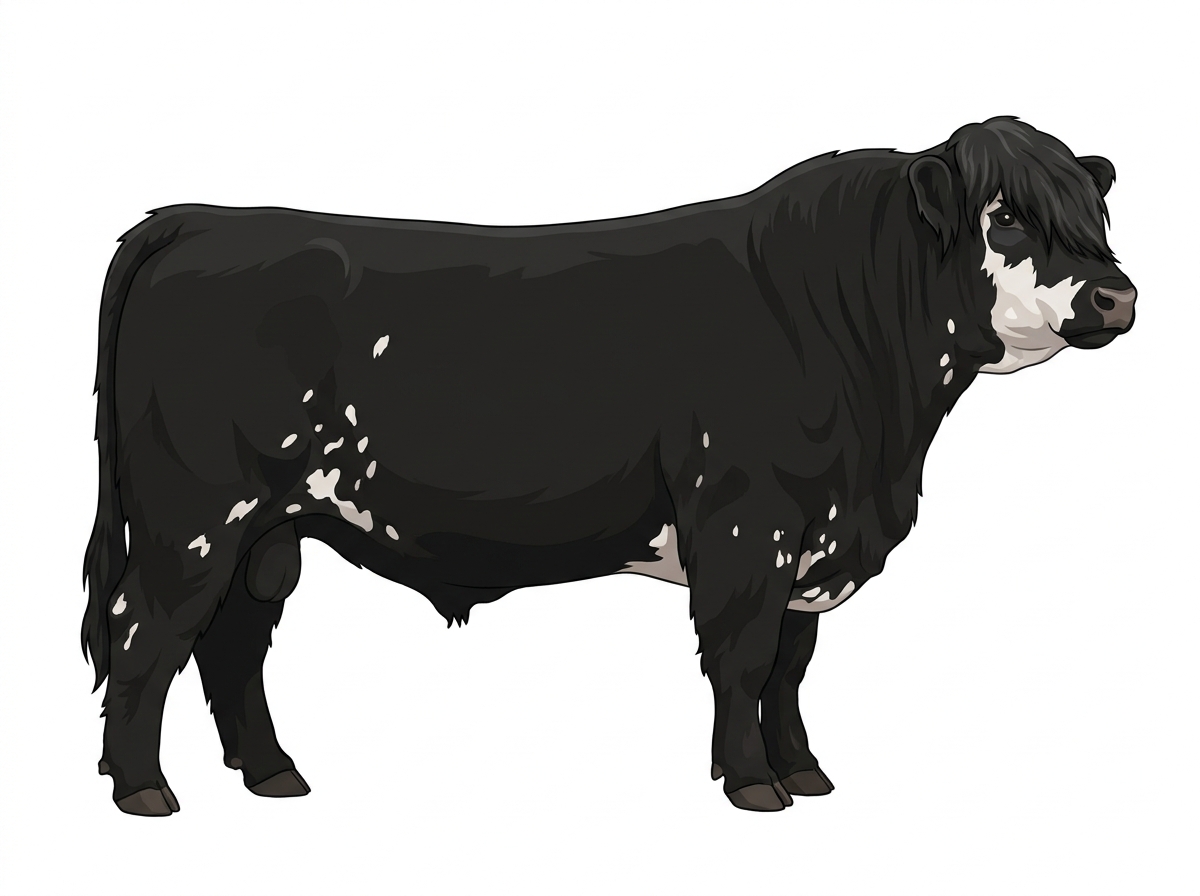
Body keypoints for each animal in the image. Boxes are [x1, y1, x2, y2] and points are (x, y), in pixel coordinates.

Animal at [83, 116, 1136, 815]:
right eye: (1006, 218)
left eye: (1096, 212)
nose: (1117, 297)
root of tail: (193, 219)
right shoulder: (747, 523)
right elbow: (745, 657)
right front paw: (753, 785)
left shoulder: (812, 537)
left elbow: (792, 665)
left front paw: (805, 772)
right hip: (194, 516)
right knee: (147, 634)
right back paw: (143, 791)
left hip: (270, 530)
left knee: (232, 640)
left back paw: (273, 774)